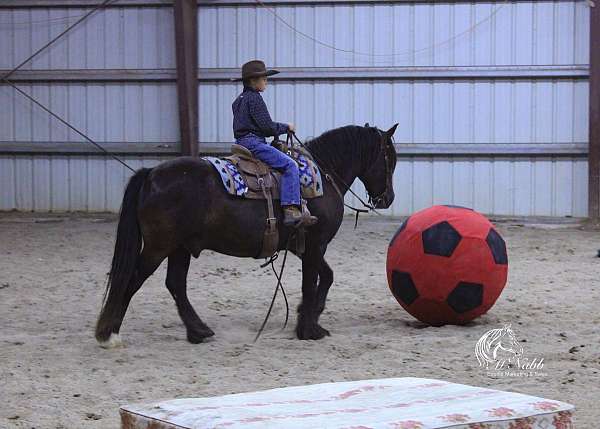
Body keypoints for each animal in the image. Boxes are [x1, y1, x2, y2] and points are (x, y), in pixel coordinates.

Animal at [95, 122, 398, 346]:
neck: (324, 176)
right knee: (133, 279)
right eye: (390, 161)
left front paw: (308, 315)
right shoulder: (315, 244)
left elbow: (326, 276)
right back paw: (110, 334)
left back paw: (199, 331)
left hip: (180, 247)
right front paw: (309, 328)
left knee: (175, 284)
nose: (388, 199)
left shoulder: (305, 248)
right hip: (159, 246)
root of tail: (150, 174)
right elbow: (312, 282)